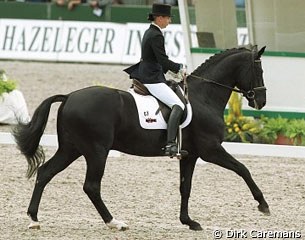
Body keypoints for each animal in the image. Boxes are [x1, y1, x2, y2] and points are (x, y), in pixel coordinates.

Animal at [13, 46, 268, 231]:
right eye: (259, 71)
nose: (261, 101)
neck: (204, 97)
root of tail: (68, 97)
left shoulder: (191, 155)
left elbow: (185, 187)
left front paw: (188, 222)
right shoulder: (211, 150)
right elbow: (243, 169)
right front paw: (263, 205)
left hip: (71, 149)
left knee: (45, 172)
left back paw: (34, 219)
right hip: (96, 151)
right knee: (91, 186)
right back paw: (114, 222)